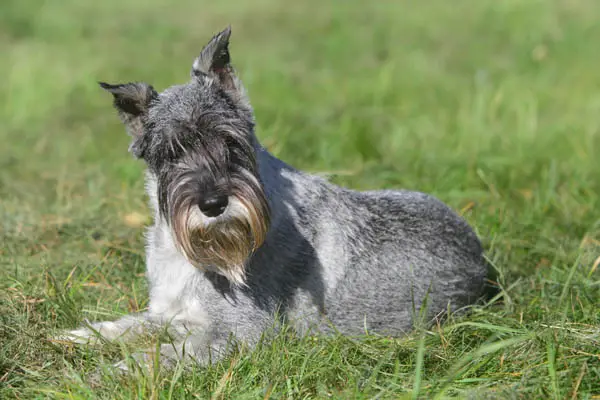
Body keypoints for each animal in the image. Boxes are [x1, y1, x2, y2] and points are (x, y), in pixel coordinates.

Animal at [57, 25, 488, 368]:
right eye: (171, 153)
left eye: (231, 142)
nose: (213, 204)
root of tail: (482, 259)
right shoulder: (169, 312)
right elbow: (130, 325)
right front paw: (78, 336)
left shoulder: (240, 333)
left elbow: (156, 355)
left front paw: (105, 375)